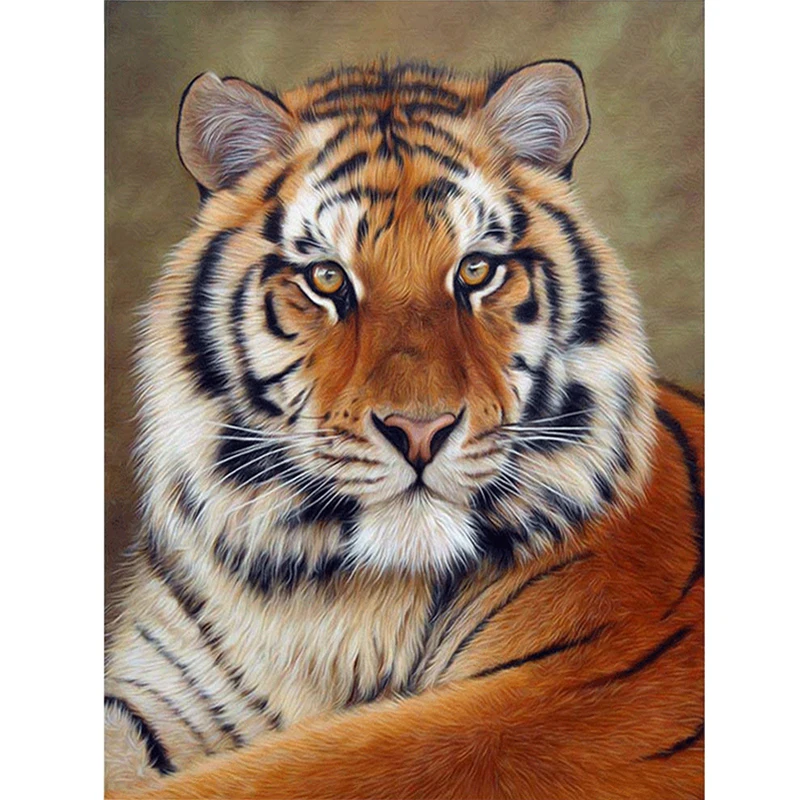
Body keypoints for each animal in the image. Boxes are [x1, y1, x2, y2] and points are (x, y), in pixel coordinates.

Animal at [105, 60, 704, 799]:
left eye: (476, 269)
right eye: (327, 278)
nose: (420, 431)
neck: (329, 599)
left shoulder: (566, 699)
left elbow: (311, 766)